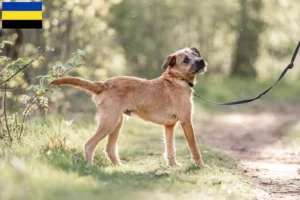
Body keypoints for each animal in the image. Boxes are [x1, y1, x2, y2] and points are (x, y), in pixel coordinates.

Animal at [50, 47, 207, 166]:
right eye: (186, 60)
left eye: (195, 55)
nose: (201, 61)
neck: (177, 79)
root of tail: (103, 84)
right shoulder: (186, 122)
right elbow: (194, 147)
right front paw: (200, 166)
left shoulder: (169, 126)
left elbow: (170, 149)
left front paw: (173, 165)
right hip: (109, 122)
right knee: (89, 144)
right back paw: (90, 167)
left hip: (117, 123)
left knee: (109, 148)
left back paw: (119, 167)